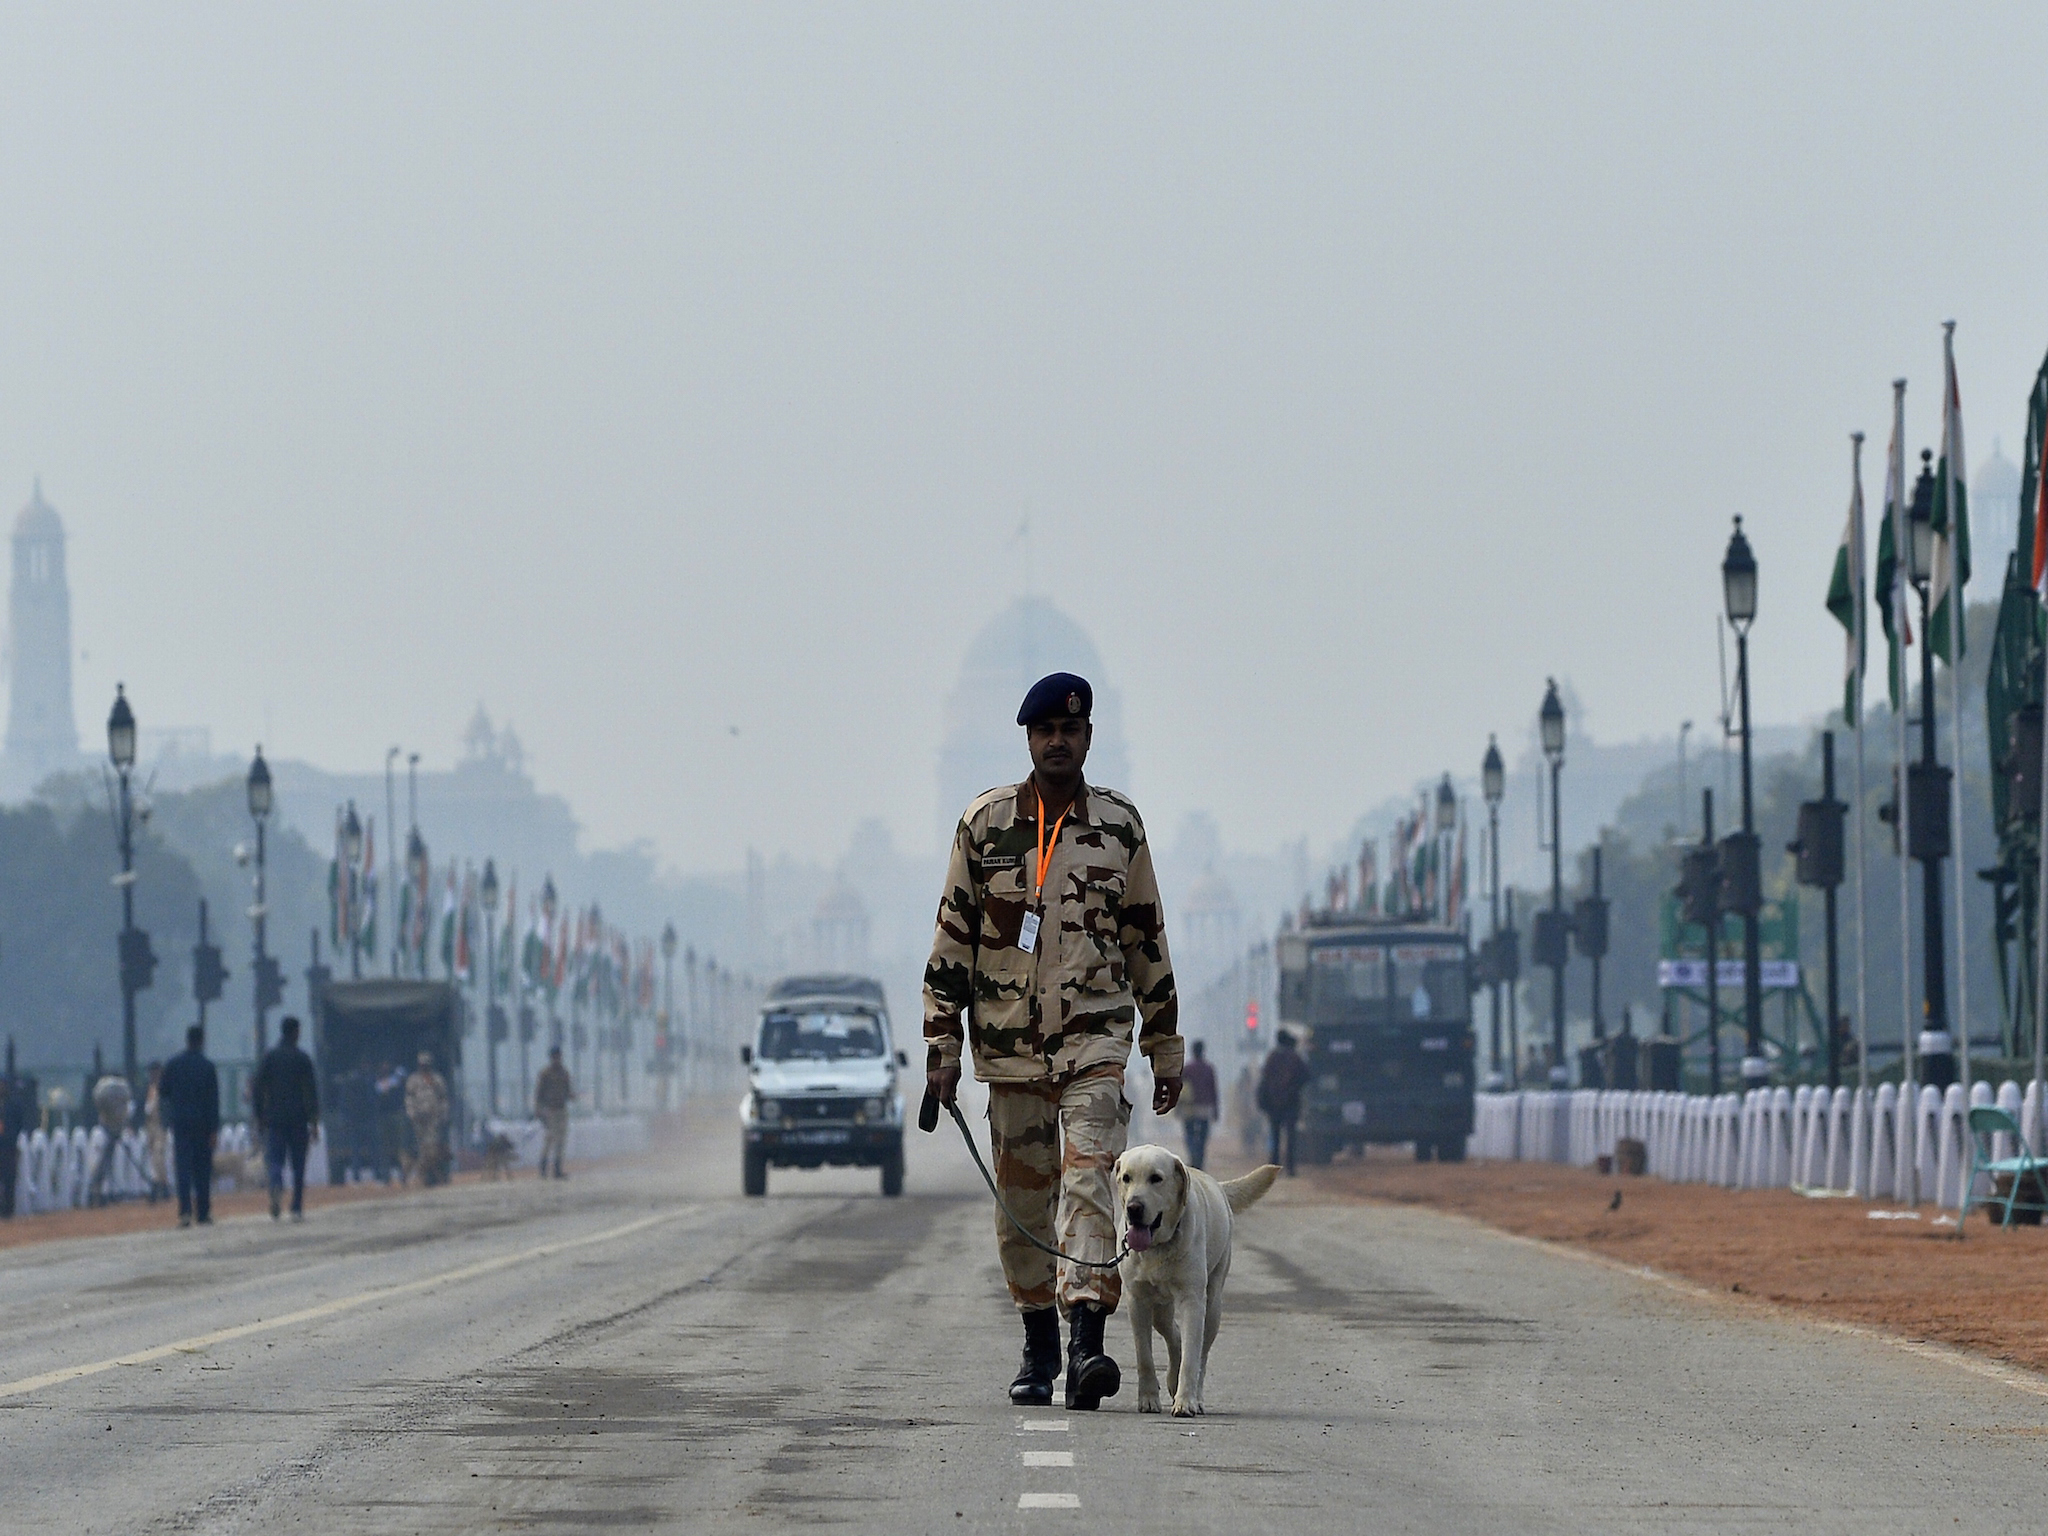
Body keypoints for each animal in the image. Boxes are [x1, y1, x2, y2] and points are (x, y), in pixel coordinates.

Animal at [1114, 1146, 1269, 1425]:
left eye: (1156, 1178)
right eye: (1126, 1178)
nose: (1133, 1207)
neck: (1158, 1247)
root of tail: (1215, 1183)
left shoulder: (1192, 1300)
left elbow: (1191, 1358)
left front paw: (1186, 1402)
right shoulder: (1136, 1299)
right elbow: (1144, 1356)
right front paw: (1148, 1399)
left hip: (1213, 1303)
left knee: (1201, 1353)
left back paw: (1195, 1396)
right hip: (1161, 1308)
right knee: (1173, 1334)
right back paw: (1171, 1379)